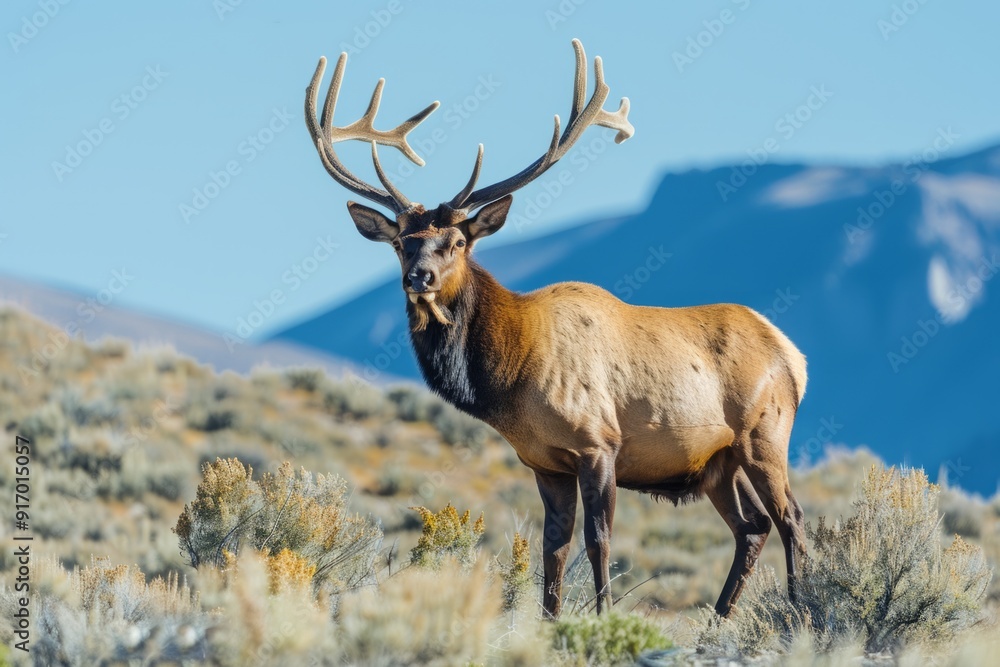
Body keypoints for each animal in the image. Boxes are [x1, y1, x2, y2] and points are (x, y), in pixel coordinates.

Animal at [303, 39, 808, 619]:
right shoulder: (544, 462)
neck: (511, 373)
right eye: (400, 243)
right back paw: (719, 620)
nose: (419, 278)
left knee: (790, 519)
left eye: (458, 242)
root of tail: (795, 357)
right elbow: (553, 547)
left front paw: (604, 617)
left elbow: (600, 541)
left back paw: (801, 612)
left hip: (764, 435)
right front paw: (549, 621)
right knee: (752, 526)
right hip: (716, 463)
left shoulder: (598, 444)